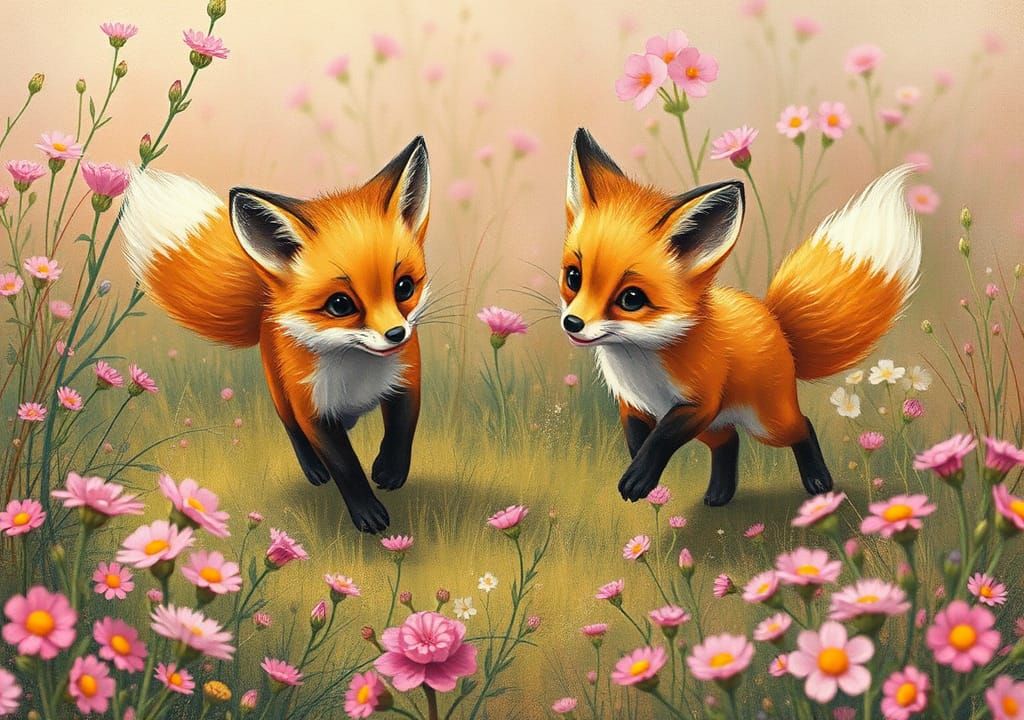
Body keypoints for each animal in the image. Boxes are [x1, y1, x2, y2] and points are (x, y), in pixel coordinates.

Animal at [119, 137, 434, 533]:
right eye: (340, 304)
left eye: (404, 286)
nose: (396, 334)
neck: (357, 371)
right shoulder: (311, 409)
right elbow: (345, 466)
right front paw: (366, 511)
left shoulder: (407, 377)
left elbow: (403, 428)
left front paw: (390, 470)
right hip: (280, 392)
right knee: (291, 430)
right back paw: (313, 469)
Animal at [558, 128, 921, 506]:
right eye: (574, 277)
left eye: (631, 299)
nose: (573, 323)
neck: (641, 362)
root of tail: (777, 324)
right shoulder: (633, 404)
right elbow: (637, 441)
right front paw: (646, 480)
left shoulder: (698, 404)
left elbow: (660, 439)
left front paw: (640, 478)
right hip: (715, 426)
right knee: (729, 440)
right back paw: (720, 493)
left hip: (767, 423)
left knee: (802, 425)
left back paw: (818, 480)